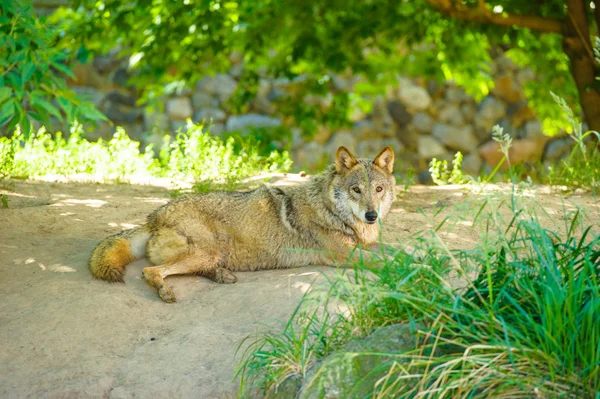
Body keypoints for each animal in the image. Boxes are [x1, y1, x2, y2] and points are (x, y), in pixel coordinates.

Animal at [89, 147, 396, 304]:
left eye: (378, 189)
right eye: (356, 190)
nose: (372, 215)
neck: (332, 210)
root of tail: (153, 217)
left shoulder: (368, 244)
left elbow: (395, 252)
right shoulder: (345, 254)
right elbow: (385, 262)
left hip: (209, 254)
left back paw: (222, 275)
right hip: (205, 251)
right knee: (151, 271)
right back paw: (166, 290)